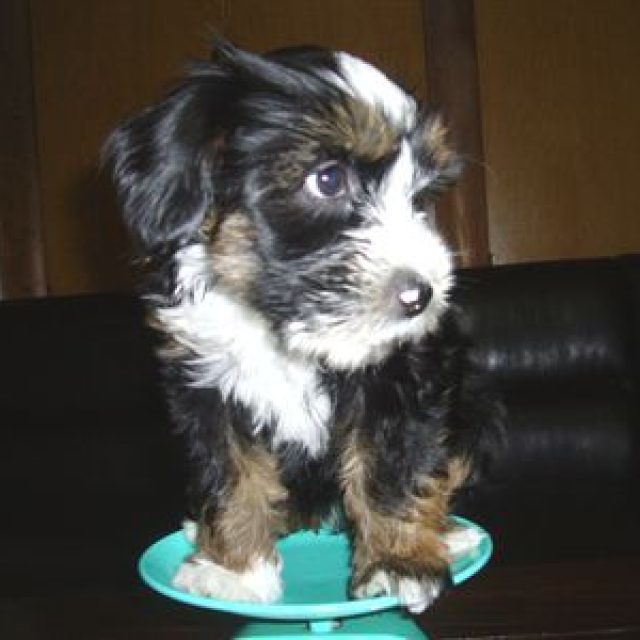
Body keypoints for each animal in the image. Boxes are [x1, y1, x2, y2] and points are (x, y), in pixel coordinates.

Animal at [105, 41, 501, 613]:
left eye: (419, 198)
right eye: (328, 179)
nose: (421, 295)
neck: (275, 321)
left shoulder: (400, 375)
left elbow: (392, 465)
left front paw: (398, 562)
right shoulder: (204, 381)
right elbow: (230, 472)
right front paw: (236, 569)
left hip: (474, 407)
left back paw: (448, 533)